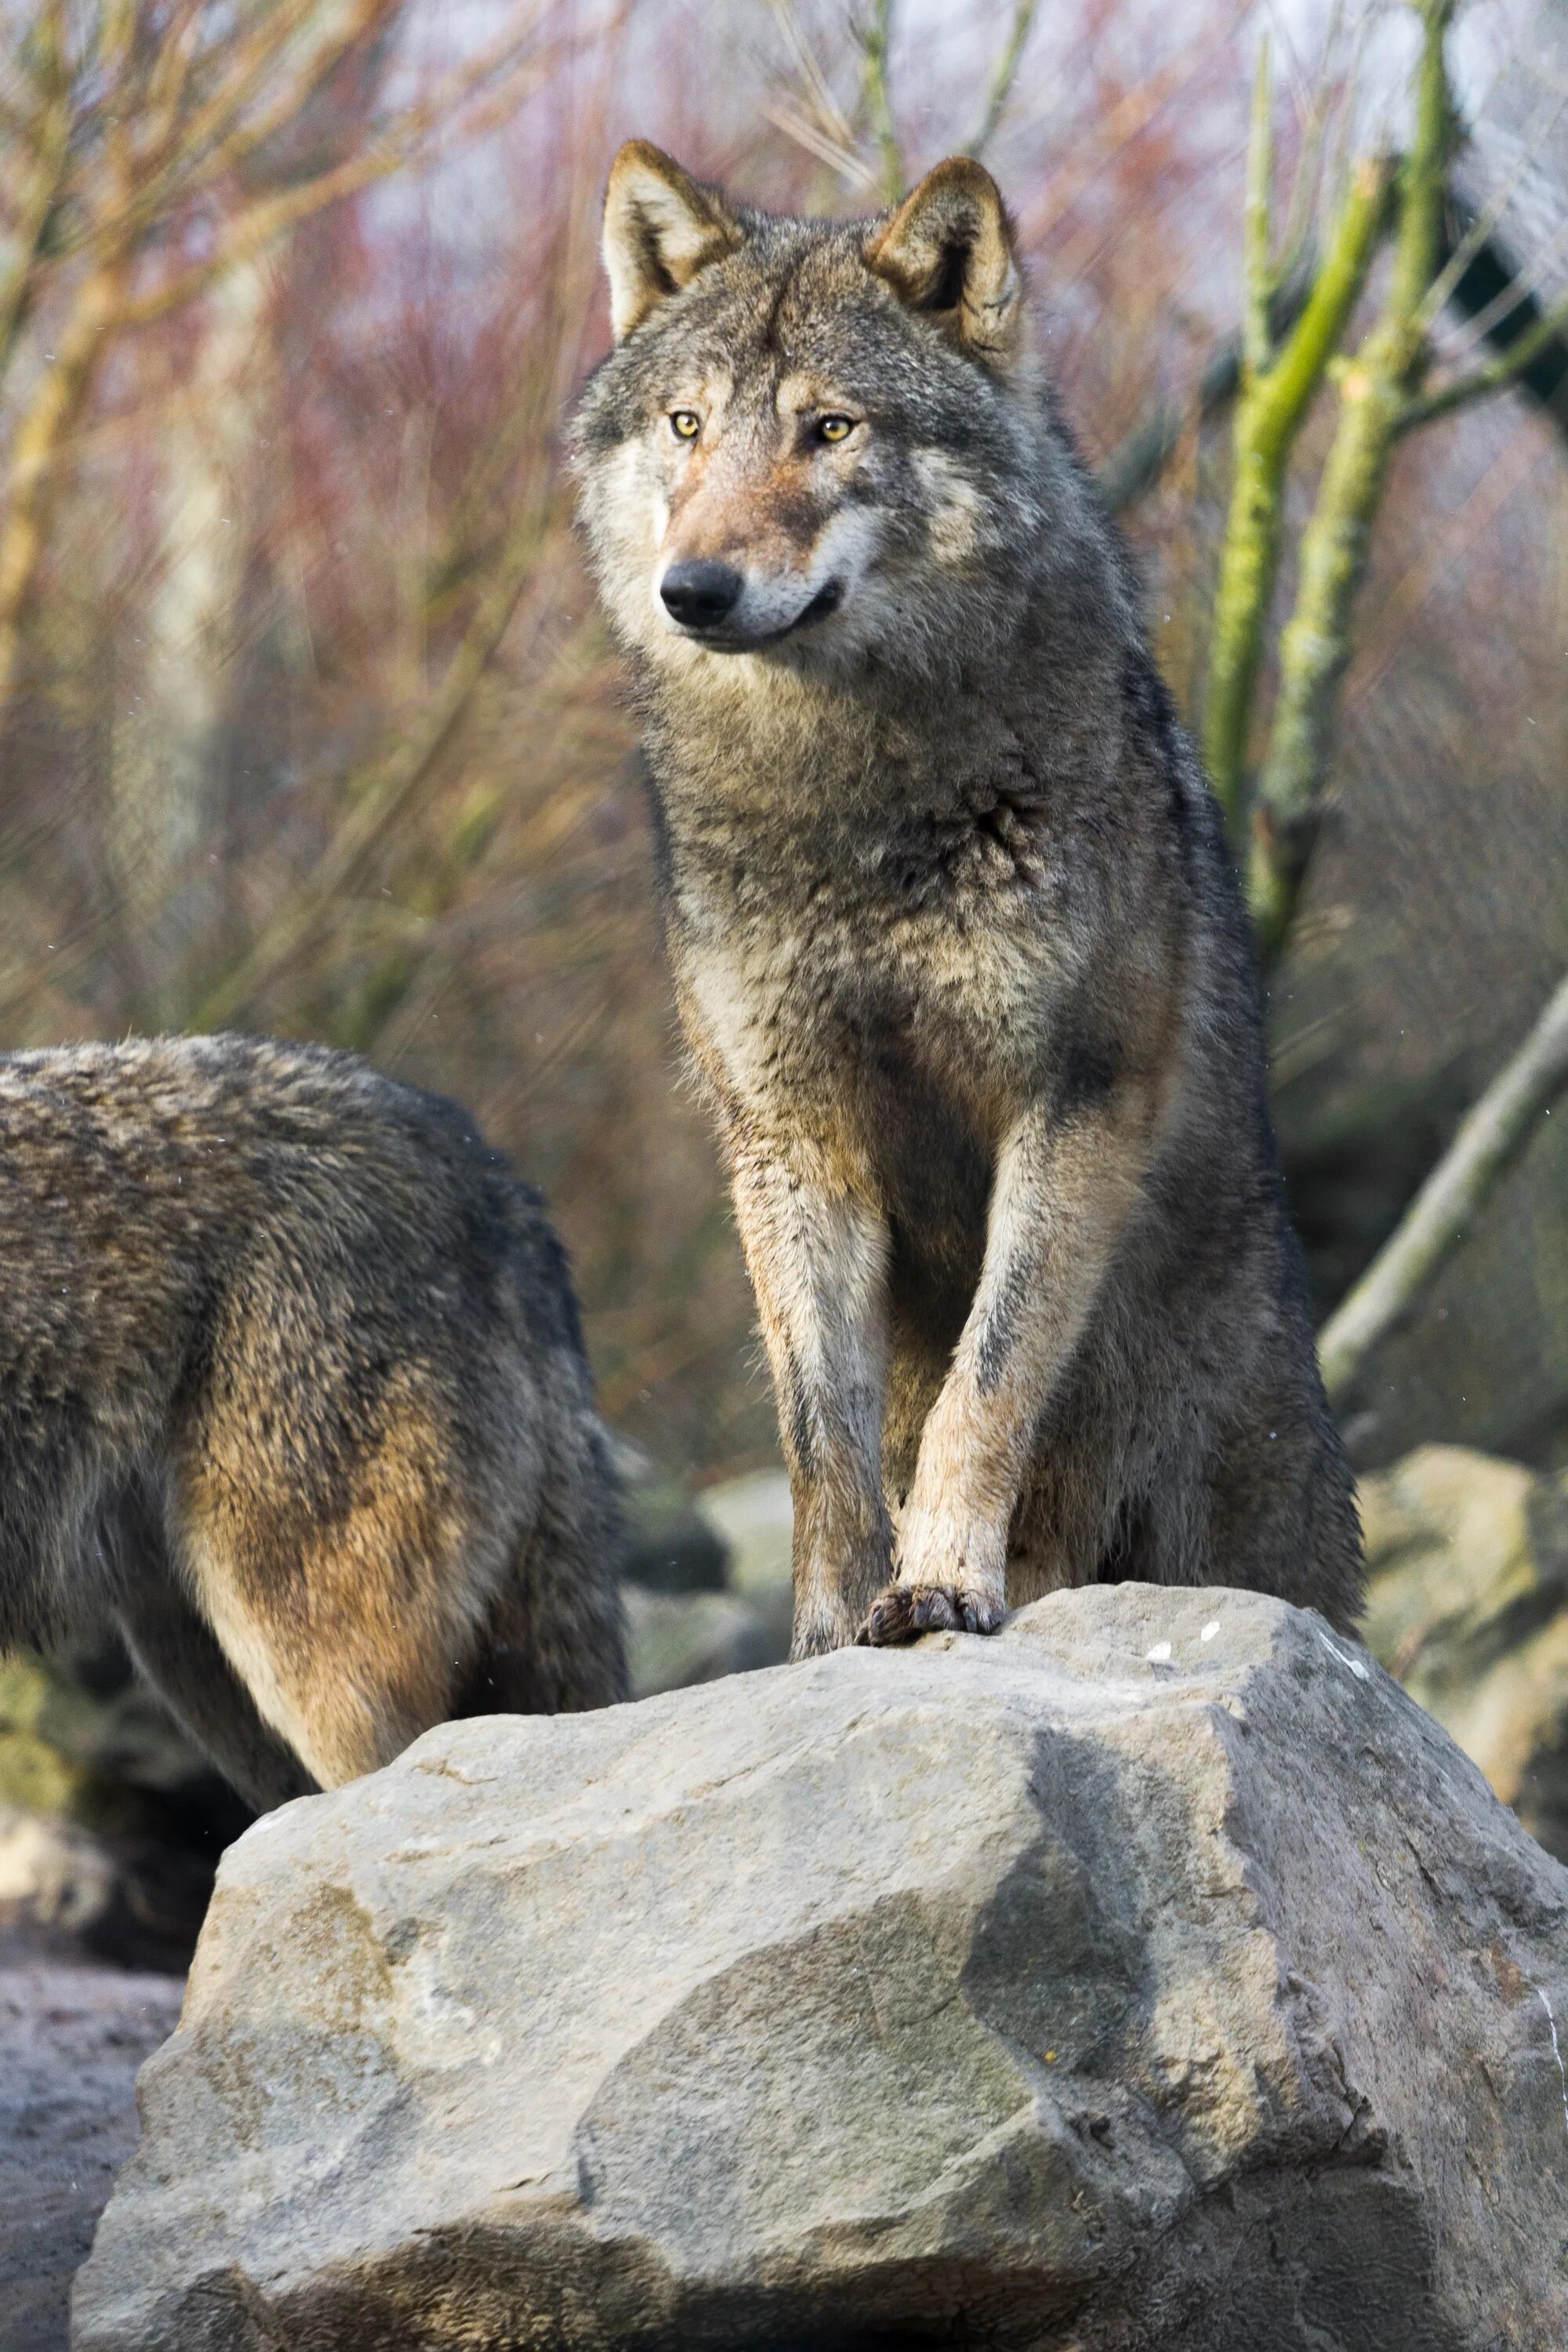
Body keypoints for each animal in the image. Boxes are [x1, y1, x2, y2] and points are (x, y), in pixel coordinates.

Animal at [573, 142, 1363, 1656]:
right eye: (689, 426)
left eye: (829, 430)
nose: (694, 588)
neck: (856, 809)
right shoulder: (789, 1137)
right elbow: (819, 1438)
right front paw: (826, 1640)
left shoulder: (1072, 1102)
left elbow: (984, 1387)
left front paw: (940, 1586)